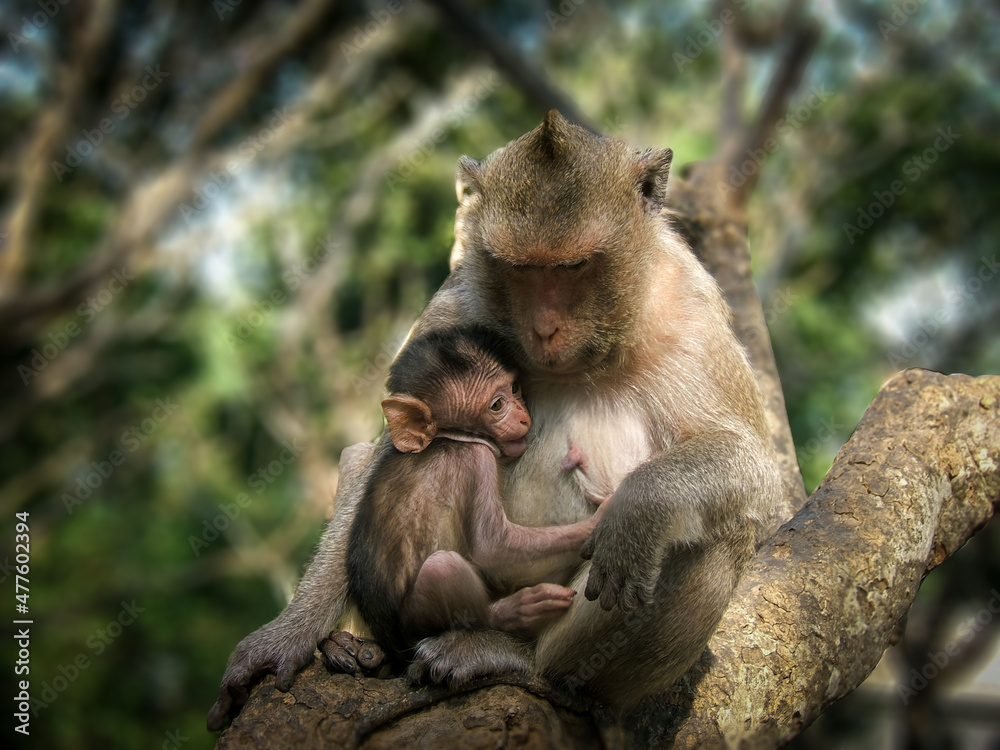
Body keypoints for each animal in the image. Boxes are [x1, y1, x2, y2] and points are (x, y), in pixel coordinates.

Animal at [344, 326, 600, 668]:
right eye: (497, 406)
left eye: (515, 388)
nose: (522, 417)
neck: (447, 437)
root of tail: (393, 646)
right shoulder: (477, 458)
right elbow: (491, 545)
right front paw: (601, 518)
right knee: (443, 568)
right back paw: (508, 613)